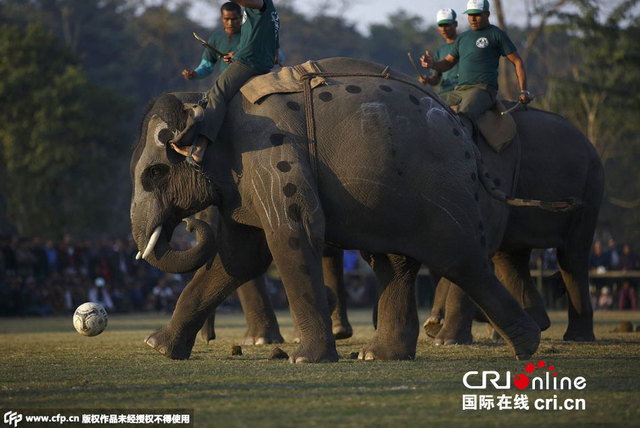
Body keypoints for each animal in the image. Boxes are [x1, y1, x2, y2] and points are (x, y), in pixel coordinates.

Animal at [129, 56, 552, 362]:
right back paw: (378, 356)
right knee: (394, 262)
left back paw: (526, 345)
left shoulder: (272, 154)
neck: (205, 103)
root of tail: (460, 128)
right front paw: (158, 347)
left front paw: (305, 360)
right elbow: (240, 257)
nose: (189, 227)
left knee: (460, 259)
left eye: (154, 173)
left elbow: (292, 233)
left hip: (443, 187)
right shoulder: (243, 179)